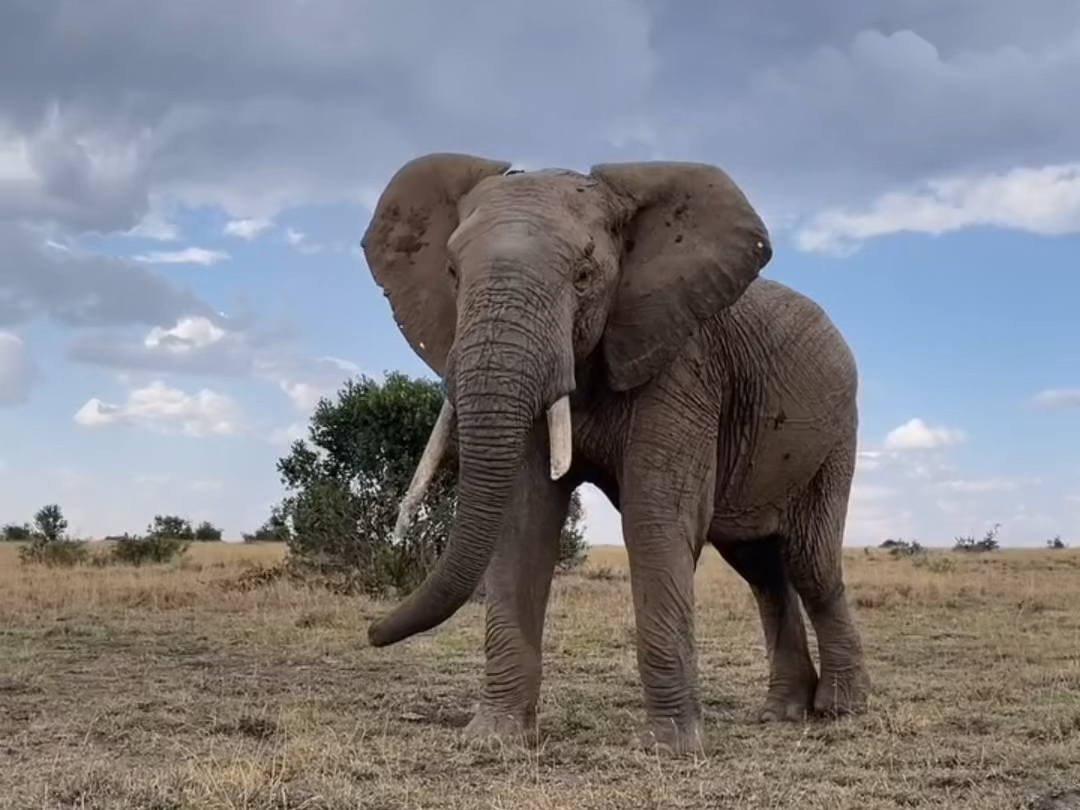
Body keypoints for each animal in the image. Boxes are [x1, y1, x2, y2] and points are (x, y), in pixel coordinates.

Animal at [360, 151, 868, 756]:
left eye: (584, 277)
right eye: (454, 273)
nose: (370, 631)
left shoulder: (682, 361)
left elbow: (655, 519)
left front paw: (671, 749)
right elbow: (522, 523)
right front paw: (494, 738)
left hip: (836, 435)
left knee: (811, 562)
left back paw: (841, 709)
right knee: (761, 569)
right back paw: (783, 713)